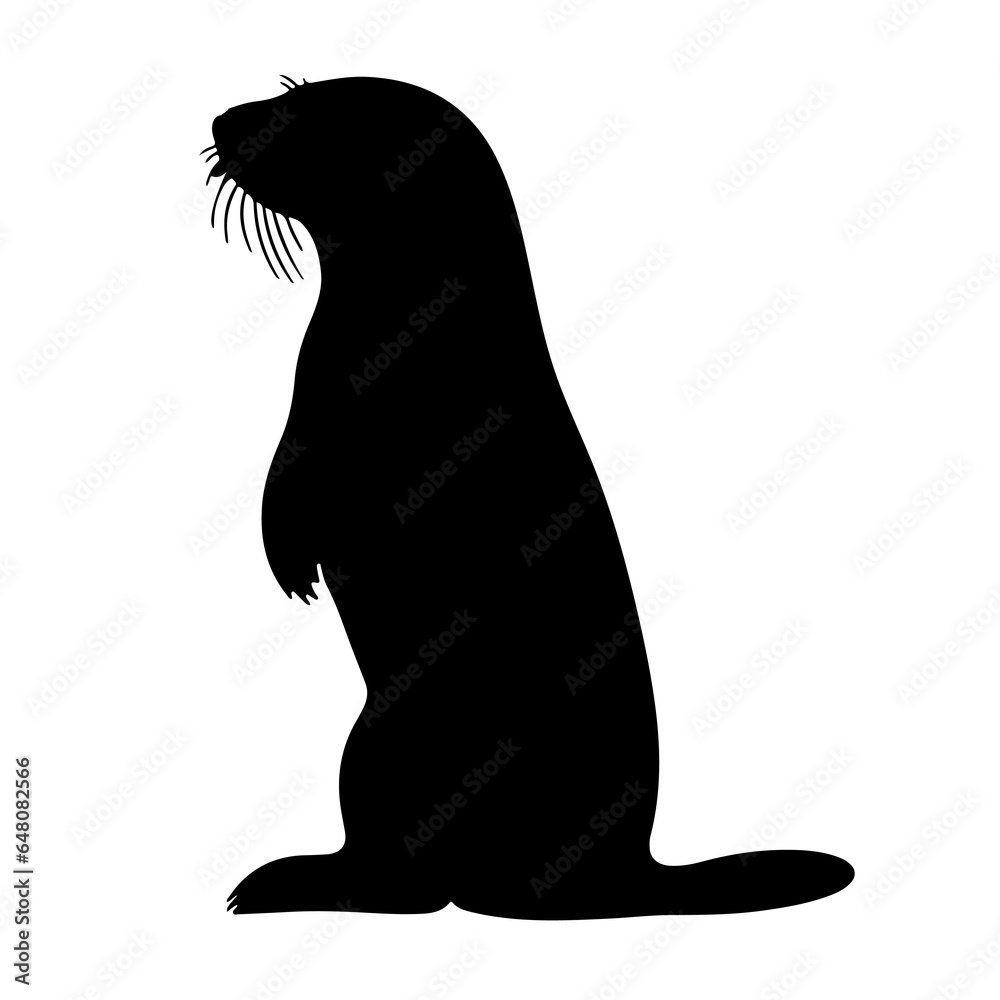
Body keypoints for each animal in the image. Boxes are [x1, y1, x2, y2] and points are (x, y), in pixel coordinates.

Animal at [205, 75, 853, 918]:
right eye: (293, 84)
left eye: (308, 113)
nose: (223, 118)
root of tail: (629, 864)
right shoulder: (312, 401)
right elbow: (286, 477)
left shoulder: (322, 401)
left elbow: (293, 489)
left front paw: (294, 571)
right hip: (368, 747)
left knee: (416, 885)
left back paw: (285, 884)